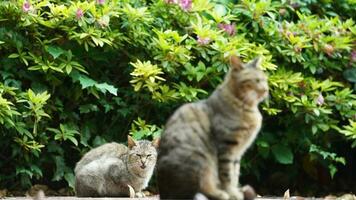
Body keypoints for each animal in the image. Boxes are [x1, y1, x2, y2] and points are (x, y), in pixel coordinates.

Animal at [157, 55, 268, 200]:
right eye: (256, 80)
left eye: (265, 80)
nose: (266, 90)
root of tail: (163, 193)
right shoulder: (227, 147)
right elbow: (227, 175)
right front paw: (232, 193)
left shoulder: (237, 152)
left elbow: (235, 174)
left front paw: (235, 192)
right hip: (199, 159)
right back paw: (221, 194)